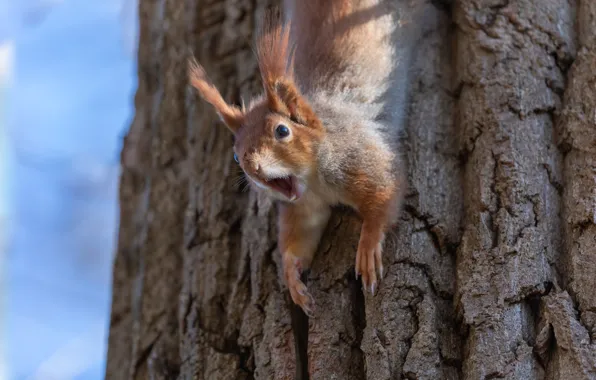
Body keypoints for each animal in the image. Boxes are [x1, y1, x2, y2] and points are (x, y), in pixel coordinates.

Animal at [189, 0, 412, 316]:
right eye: (234, 156)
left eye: (282, 130)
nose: (252, 169)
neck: (314, 181)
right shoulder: (305, 207)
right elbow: (299, 239)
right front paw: (292, 277)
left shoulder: (359, 157)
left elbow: (383, 195)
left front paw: (368, 245)